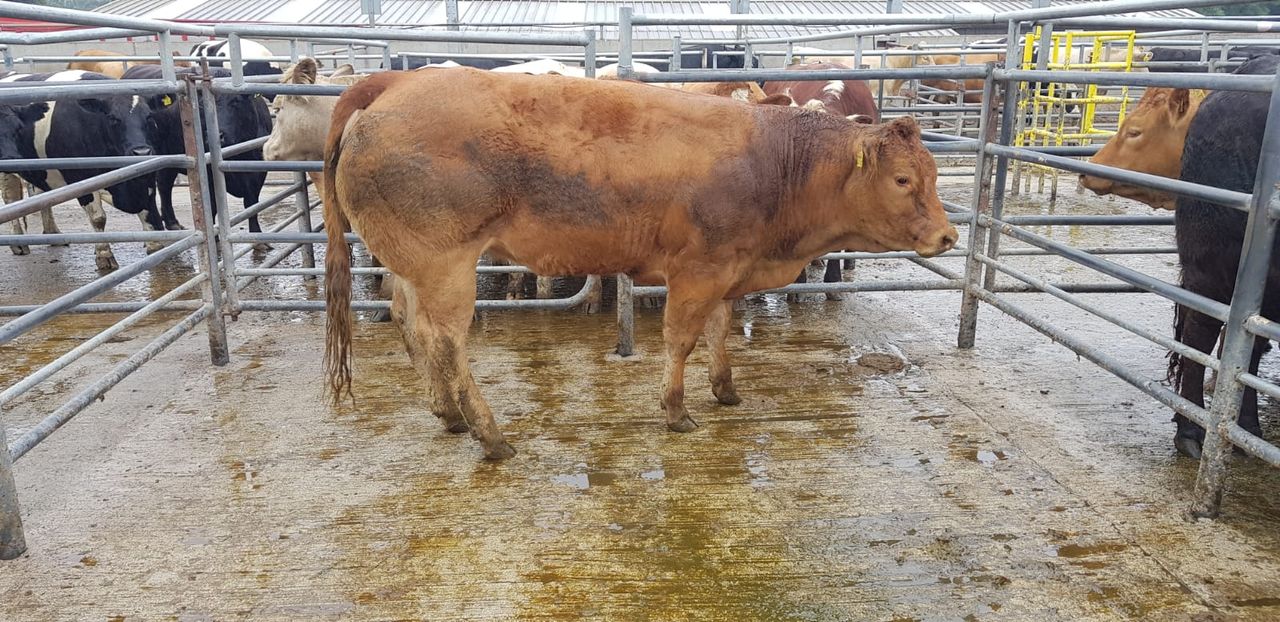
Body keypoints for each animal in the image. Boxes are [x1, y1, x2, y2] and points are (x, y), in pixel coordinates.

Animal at [0, 70, 163, 270]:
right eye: (113, 118)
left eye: (149, 116)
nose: (141, 151)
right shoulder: (80, 178)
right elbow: (98, 218)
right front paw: (104, 255)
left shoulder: (147, 173)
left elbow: (148, 210)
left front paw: (155, 246)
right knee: (11, 198)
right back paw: (18, 243)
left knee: (41, 197)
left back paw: (53, 234)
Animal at [122, 65, 272, 236]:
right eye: (201, 104)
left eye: (236, 101)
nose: (216, 135)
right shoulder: (209, 174)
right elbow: (212, 207)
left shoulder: (258, 172)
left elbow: (251, 203)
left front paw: (256, 233)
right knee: (156, 189)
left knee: (164, 184)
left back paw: (171, 222)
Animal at [321, 68, 957, 460]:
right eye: (904, 179)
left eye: (930, 173)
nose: (948, 235)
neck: (772, 161)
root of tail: (394, 84)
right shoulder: (698, 269)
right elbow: (681, 338)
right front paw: (675, 410)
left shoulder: (730, 268)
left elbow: (720, 330)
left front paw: (725, 390)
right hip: (446, 263)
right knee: (447, 341)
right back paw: (489, 435)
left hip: (410, 262)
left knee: (410, 324)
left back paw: (447, 414)